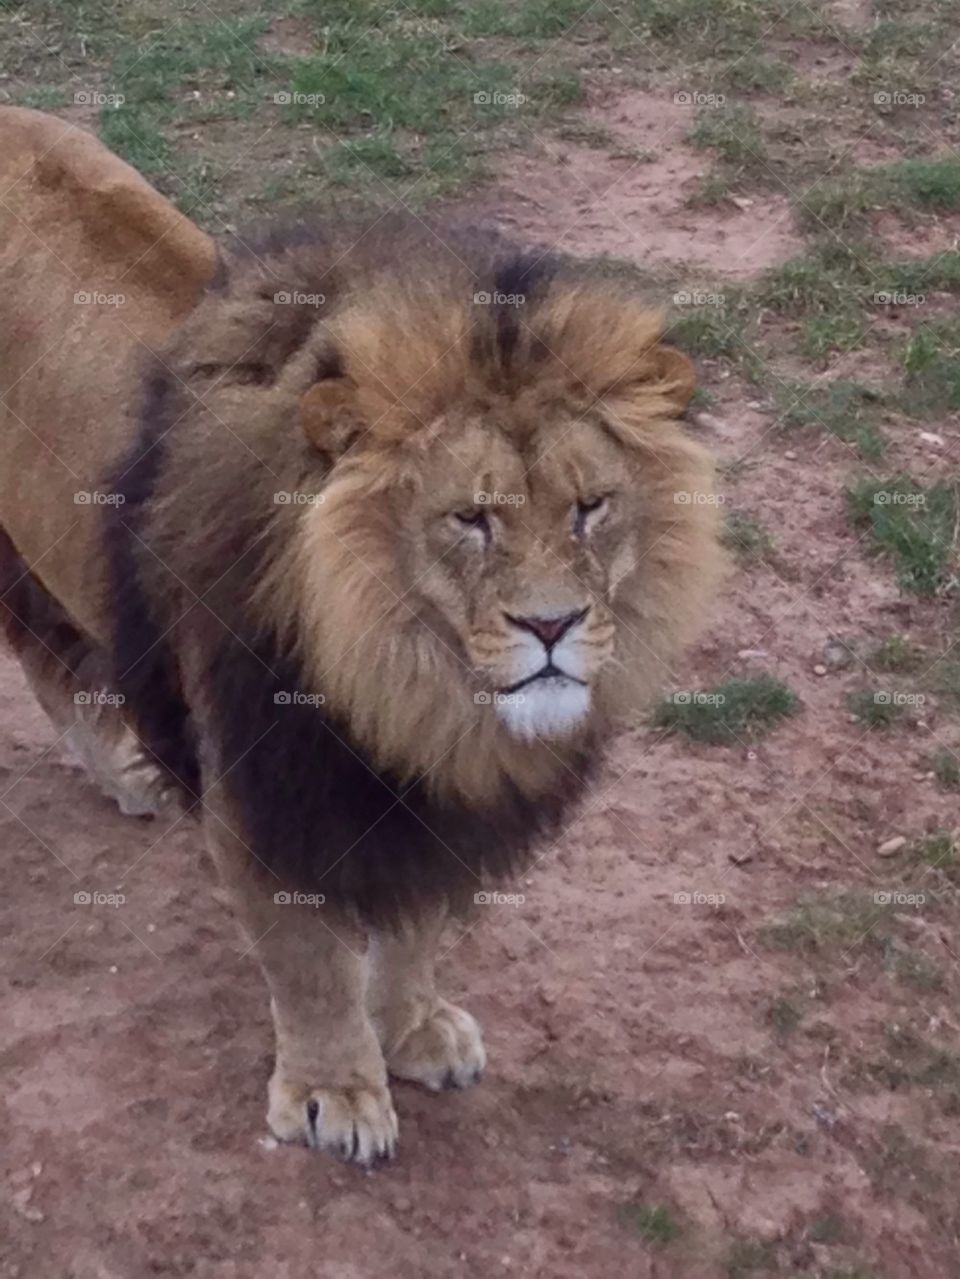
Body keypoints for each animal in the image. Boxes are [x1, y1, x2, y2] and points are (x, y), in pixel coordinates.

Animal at [0, 107, 722, 1164]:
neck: (402, 682)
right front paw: (332, 1089)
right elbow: (306, 963)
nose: (552, 624)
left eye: (591, 507)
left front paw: (414, 1027)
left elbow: (414, 928)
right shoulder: (262, 788)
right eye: (471, 519)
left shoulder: (433, 804)